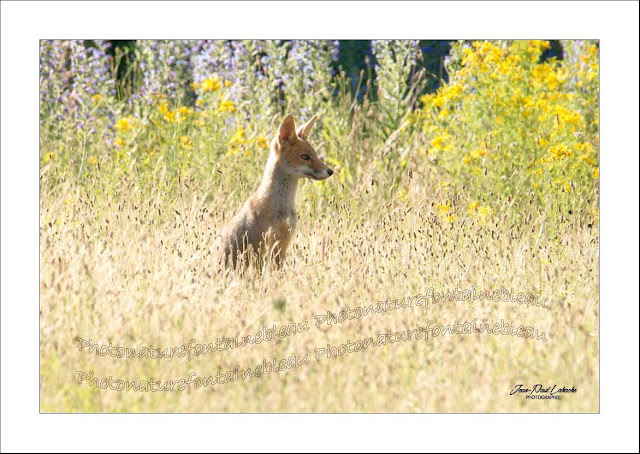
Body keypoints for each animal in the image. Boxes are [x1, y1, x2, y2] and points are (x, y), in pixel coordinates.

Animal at [216, 114, 336, 270]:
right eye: (305, 157)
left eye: (315, 155)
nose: (330, 171)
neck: (281, 206)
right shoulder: (261, 245)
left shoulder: (282, 245)